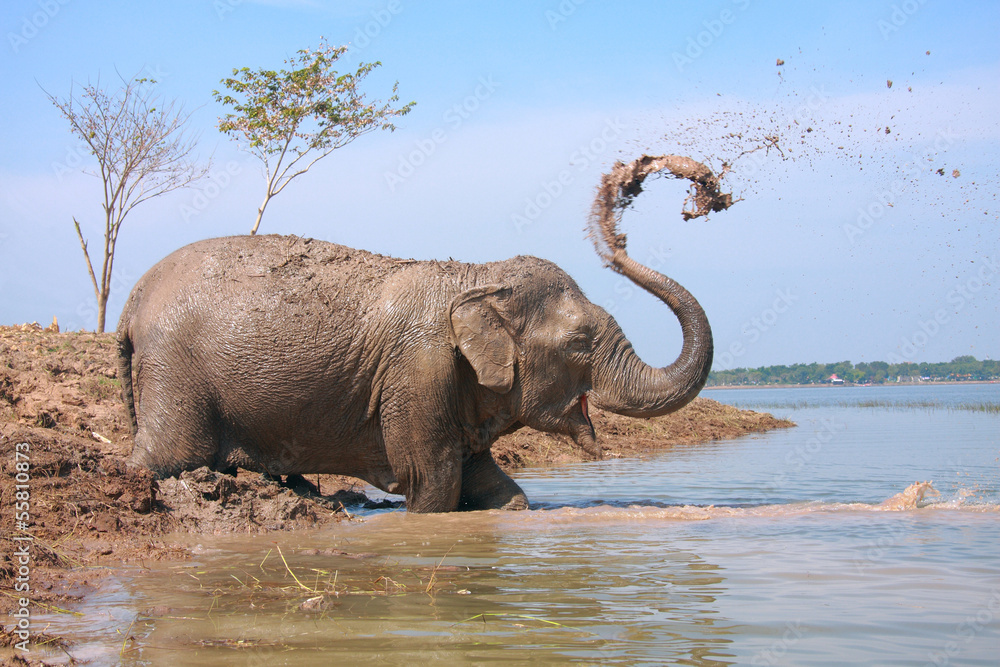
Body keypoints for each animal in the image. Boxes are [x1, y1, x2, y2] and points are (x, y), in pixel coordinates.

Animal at [117, 233, 712, 512]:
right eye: (578, 344)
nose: (615, 245)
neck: (476, 276)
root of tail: (132, 299)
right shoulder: (419, 370)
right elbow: (433, 481)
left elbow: (493, 487)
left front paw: (507, 507)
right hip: (174, 368)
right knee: (170, 456)